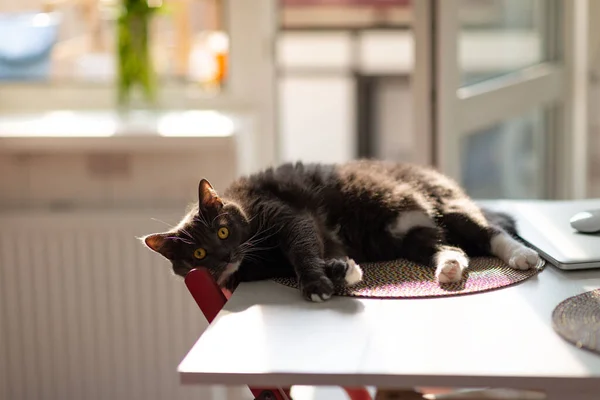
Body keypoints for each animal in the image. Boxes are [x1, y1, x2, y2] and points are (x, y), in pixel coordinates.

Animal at [144, 161, 540, 302]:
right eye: (198, 254)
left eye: (223, 232)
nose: (225, 255)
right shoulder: (293, 253)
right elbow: (318, 252)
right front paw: (341, 271)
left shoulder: (287, 214)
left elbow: (303, 248)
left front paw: (317, 285)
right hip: (410, 236)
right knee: (452, 248)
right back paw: (450, 270)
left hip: (443, 204)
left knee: (489, 232)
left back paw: (523, 255)